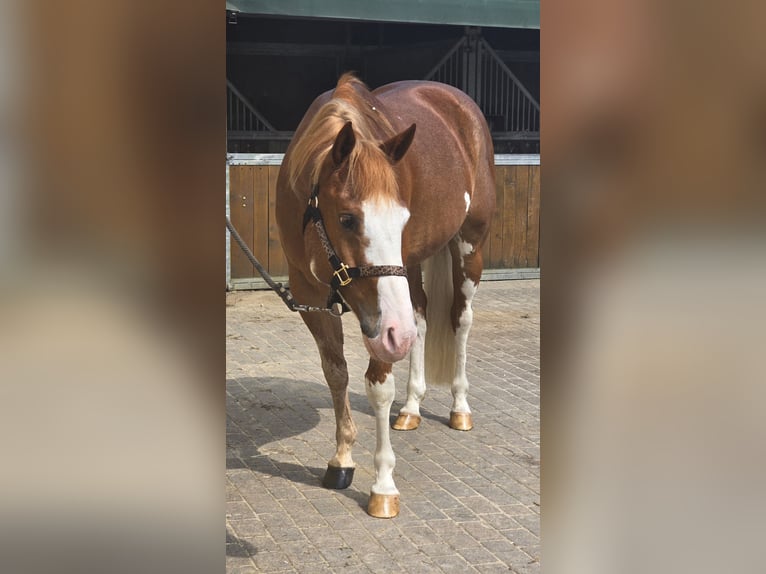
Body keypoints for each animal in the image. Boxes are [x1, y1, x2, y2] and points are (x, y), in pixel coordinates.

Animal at [275, 73, 495, 518]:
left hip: (468, 248)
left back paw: (460, 408)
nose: (396, 332)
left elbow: (378, 386)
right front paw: (341, 460)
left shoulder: (380, 321)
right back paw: (411, 408)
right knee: (422, 320)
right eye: (347, 218)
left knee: (459, 321)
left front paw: (383, 486)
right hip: (409, 275)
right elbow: (336, 372)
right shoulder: (312, 295)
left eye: (403, 218)